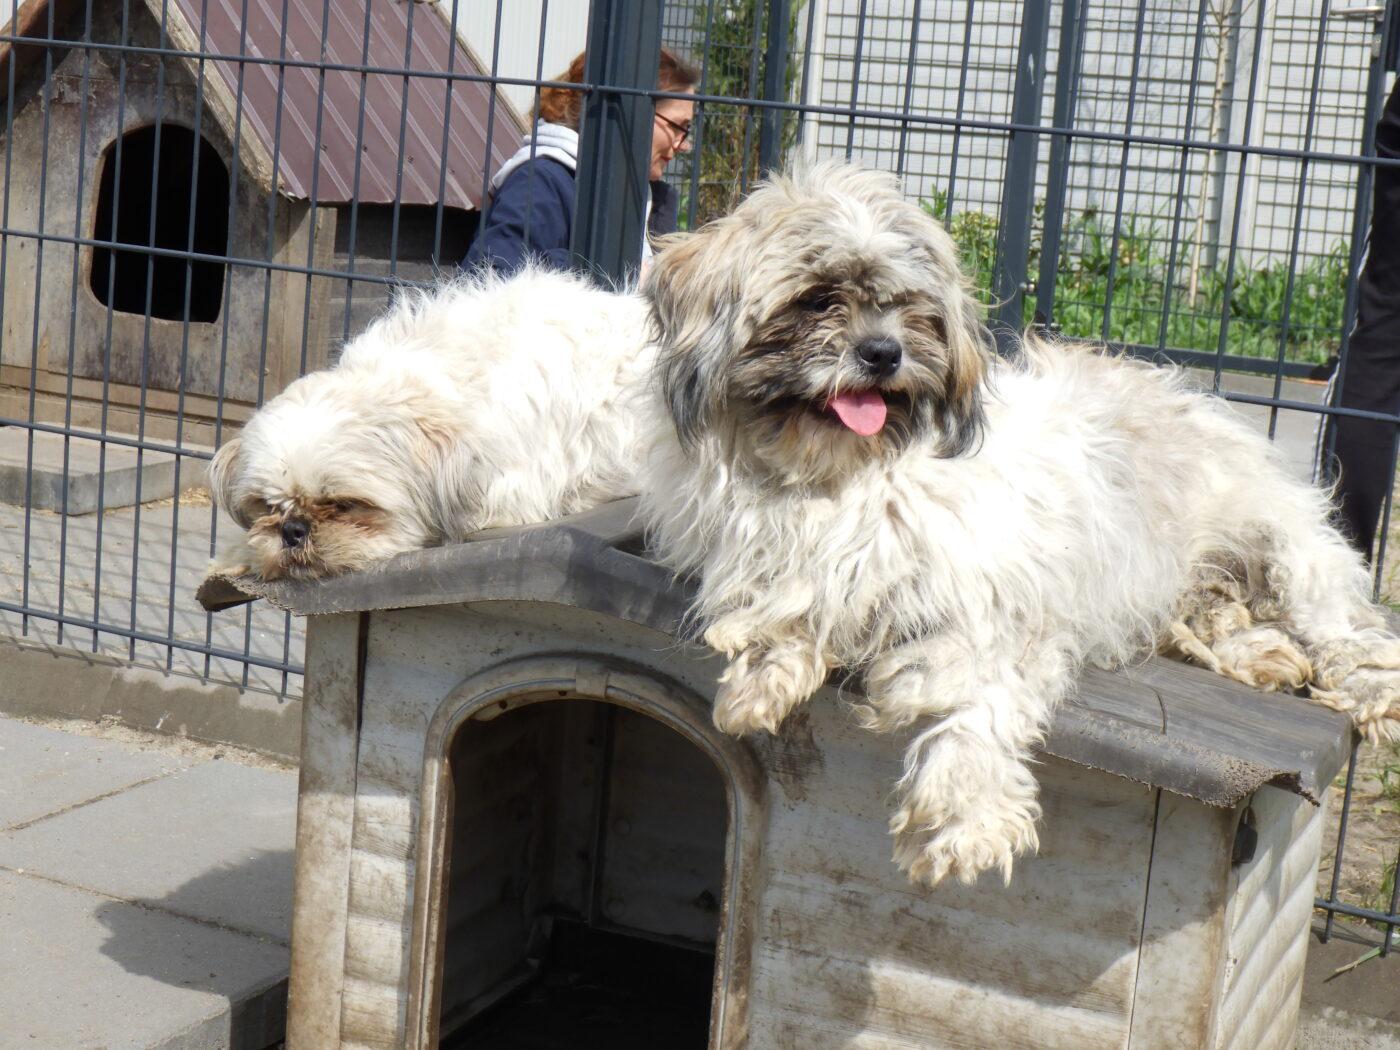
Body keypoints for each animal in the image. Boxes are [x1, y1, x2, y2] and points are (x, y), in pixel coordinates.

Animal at [638, 161, 1400, 888]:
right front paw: (763, 676)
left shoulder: (1001, 606)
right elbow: (790, 612)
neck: (838, 475)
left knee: (1347, 632)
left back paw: (1367, 690)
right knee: (1217, 613)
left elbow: (978, 696)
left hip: (1286, 549)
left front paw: (961, 812)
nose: (883, 353)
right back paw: (1257, 655)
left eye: (911, 310)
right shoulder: (787, 564)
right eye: (819, 298)